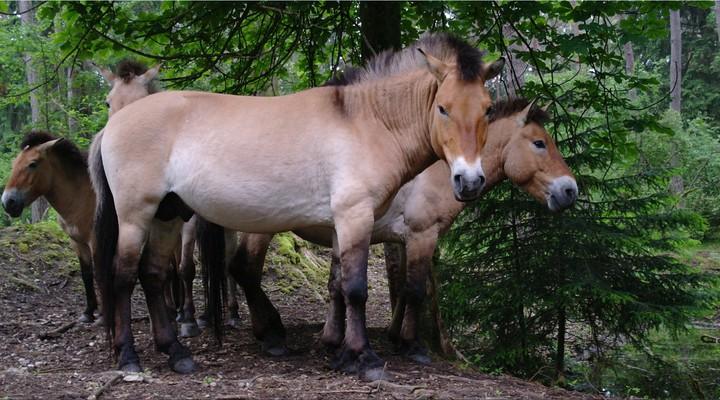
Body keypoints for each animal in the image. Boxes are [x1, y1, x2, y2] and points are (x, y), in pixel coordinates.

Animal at [1, 61, 161, 324]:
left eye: (33, 164)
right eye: (16, 163)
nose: (8, 202)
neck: (80, 196)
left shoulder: (96, 241)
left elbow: (99, 273)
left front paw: (104, 315)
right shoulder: (77, 242)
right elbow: (86, 274)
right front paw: (88, 312)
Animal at [91, 32, 506, 380]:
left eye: (487, 109)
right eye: (443, 108)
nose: (469, 181)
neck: (367, 121)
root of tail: (113, 125)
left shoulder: (343, 224)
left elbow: (339, 286)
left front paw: (343, 355)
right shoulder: (356, 216)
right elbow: (356, 289)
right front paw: (367, 360)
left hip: (168, 214)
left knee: (153, 275)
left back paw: (176, 353)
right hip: (136, 216)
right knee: (123, 276)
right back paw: (129, 357)